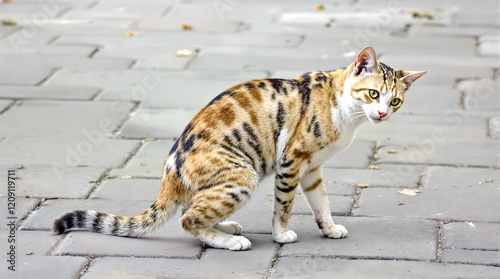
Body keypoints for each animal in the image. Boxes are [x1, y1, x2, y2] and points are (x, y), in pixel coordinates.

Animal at [52, 46, 426, 252]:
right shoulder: (292, 160)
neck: (345, 111)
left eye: (394, 101)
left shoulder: (313, 169)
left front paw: (329, 227)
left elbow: (322, 201)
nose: (382, 113)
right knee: (187, 219)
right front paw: (281, 235)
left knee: (193, 211)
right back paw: (229, 240)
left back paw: (225, 229)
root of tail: (169, 173)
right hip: (242, 175)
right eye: (373, 94)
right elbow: (284, 205)